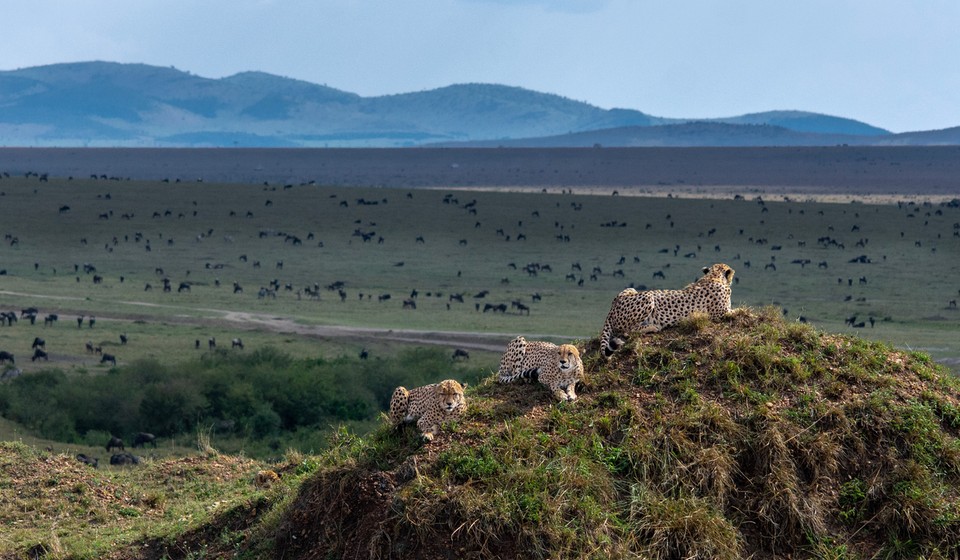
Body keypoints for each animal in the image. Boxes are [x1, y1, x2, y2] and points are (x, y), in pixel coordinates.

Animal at [600, 262, 736, 358]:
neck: (713, 277)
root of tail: (612, 308)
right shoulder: (720, 313)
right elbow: (739, 311)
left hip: (631, 289)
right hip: (648, 296)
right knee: (627, 331)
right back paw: (653, 327)